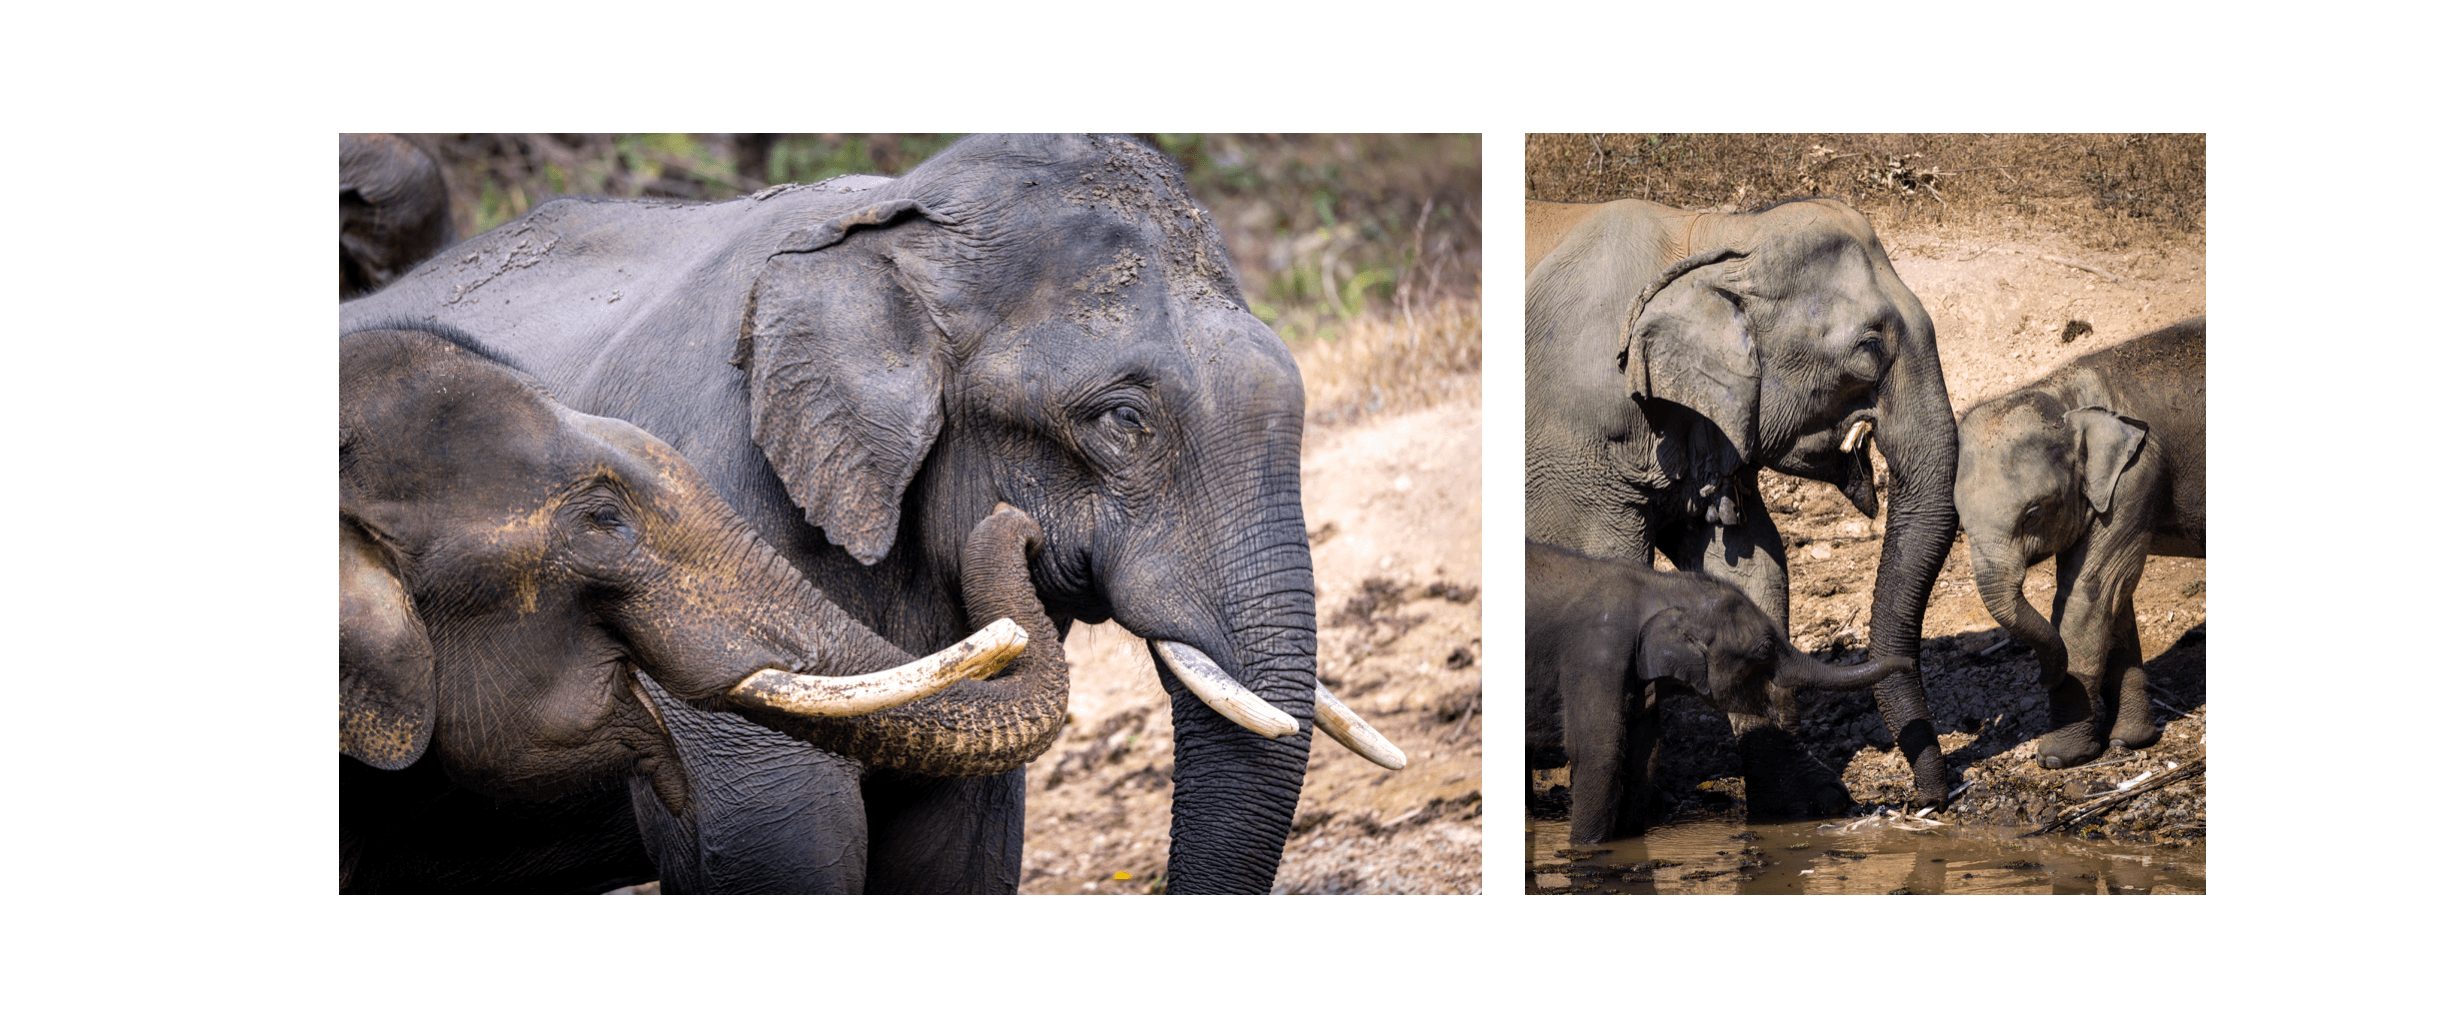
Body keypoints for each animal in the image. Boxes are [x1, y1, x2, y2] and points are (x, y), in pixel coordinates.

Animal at [1525, 196, 1959, 809]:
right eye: (1870, 348)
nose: (1930, 801)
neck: (1714, 238)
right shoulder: (1572, 442)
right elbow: (1607, 572)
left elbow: (1753, 563)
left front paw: (1807, 804)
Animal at [1526, 541, 1909, 844]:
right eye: (1765, 648)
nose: (1908, 661)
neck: (1659, 585)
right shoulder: (1595, 658)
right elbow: (1599, 753)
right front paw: (1588, 850)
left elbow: (1643, 754)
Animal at [1955, 317, 2205, 770]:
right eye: (1961, 522)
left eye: (2033, 513)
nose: (2040, 676)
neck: (2069, 396)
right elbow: (2113, 599)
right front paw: (2129, 740)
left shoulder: (2136, 477)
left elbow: (2091, 592)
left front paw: (2057, 759)